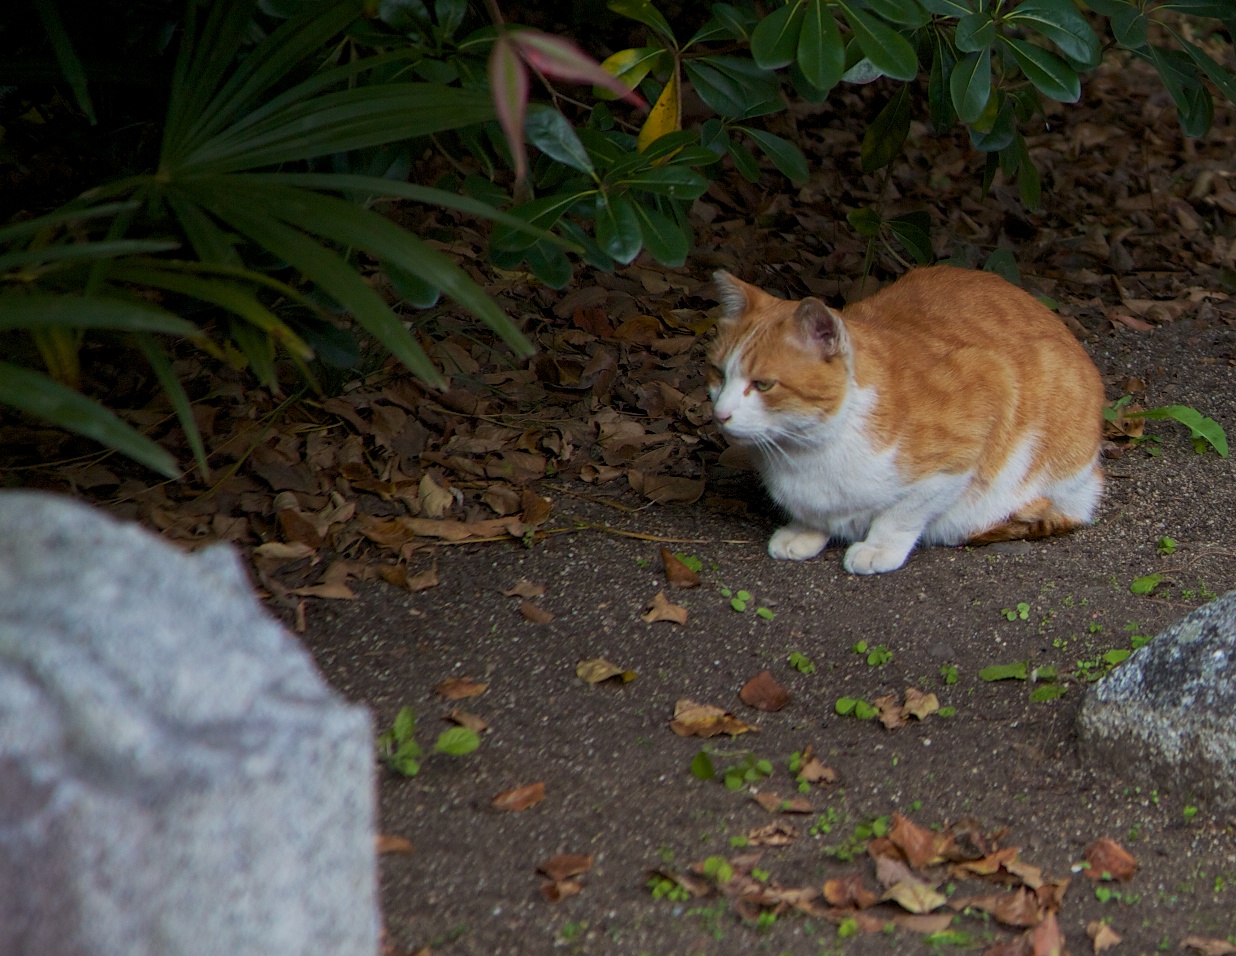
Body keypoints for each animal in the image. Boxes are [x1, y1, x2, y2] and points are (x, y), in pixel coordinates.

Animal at [711, 263, 1107, 573]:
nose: (719, 414)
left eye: (763, 384)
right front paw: (804, 531)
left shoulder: (982, 399)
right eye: (717, 373)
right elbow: (816, 514)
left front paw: (877, 547)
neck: (806, 451)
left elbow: (902, 513)